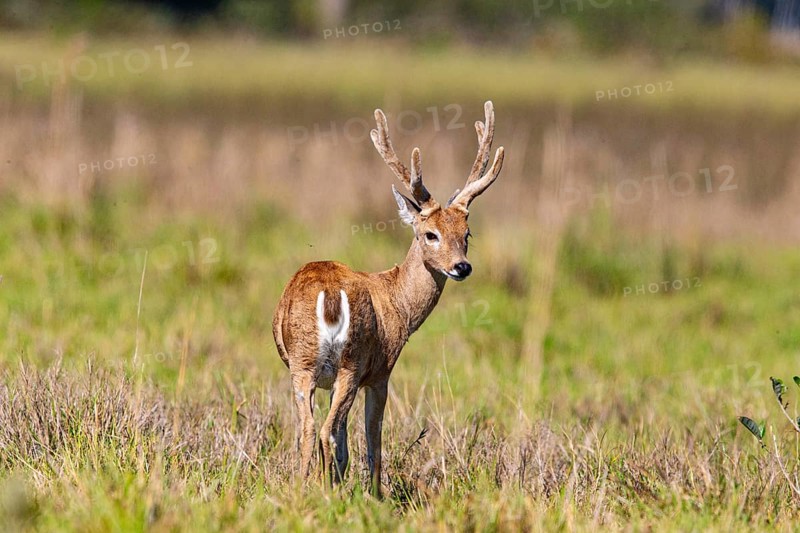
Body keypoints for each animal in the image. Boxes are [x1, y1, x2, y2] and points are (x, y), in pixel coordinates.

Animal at [272, 101, 504, 497]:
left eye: (467, 233)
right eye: (430, 234)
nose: (462, 267)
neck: (398, 302)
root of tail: (328, 297)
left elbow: (346, 443)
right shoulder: (381, 370)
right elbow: (372, 440)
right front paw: (376, 497)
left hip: (302, 364)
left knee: (308, 429)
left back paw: (303, 490)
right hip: (351, 362)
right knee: (327, 430)